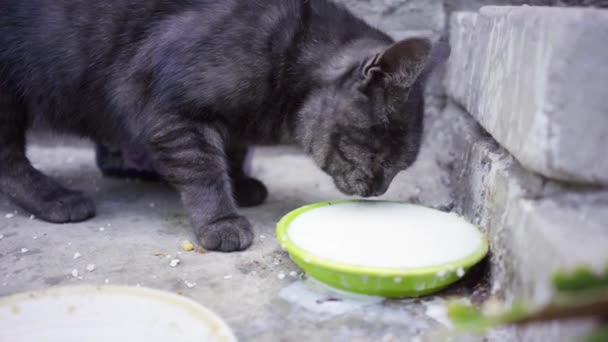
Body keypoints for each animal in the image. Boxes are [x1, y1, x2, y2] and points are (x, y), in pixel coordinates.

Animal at [1, 0, 436, 251]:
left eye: (399, 165)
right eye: (381, 156)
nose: (379, 190)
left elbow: (233, 151)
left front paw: (241, 185)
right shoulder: (175, 113)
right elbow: (204, 170)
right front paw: (221, 221)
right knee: (9, 162)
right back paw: (56, 198)